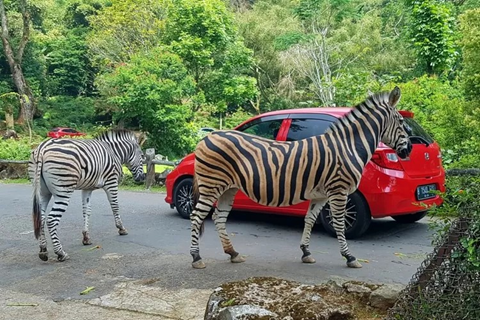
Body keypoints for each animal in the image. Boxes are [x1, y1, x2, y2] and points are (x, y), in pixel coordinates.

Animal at [27, 129, 144, 262]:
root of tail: (42, 147)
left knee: (41, 218)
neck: (114, 152)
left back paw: (43, 250)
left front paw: (86, 237)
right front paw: (121, 228)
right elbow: (115, 206)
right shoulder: (111, 182)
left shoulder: (87, 188)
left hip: (42, 192)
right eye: (142, 156)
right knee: (51, 219)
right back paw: (61, 253)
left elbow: (86, 211)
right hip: (63, 190)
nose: (142, 178)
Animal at [191, 86, 412, 268]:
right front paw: (349, 257)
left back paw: (233, 253)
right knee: (196, 216)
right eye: (402, 122)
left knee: (219, 217)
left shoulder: (321, 194)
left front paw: (306, 252)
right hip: (212, 185)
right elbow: (339, 224)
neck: (348, 147)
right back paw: (196, 257)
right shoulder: (339, 190)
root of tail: (207, 137)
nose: (409, 149)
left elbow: (310, 219)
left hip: (229, 188)